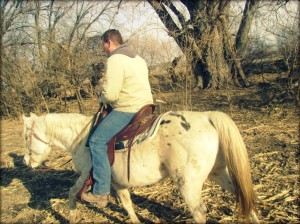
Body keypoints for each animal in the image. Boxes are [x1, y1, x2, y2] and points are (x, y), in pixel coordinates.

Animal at [22, 111, 258, 223]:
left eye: (25, 136)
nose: (26, 162)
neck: (81, 139)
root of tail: (208, 117)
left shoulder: (85, 176)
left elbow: (72, 192)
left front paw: (71, 216)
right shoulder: (119, 183)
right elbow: (127, 205)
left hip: (188, 184)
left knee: (199, 213)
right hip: (219, 173)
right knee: (243, 195)